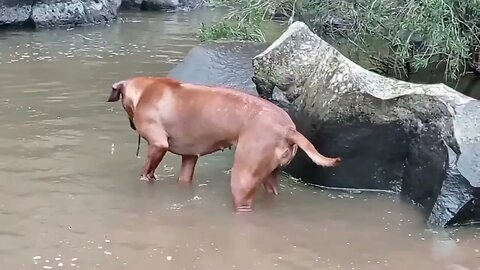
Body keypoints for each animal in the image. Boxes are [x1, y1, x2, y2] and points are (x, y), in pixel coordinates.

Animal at [107, 76, 340, 211]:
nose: (132, 126)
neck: (146, 89)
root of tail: (288, 129)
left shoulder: (158, 145)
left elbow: (146, 171)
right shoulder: (190, 157)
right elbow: (184, 176)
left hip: (243, 179)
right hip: (270, 177)